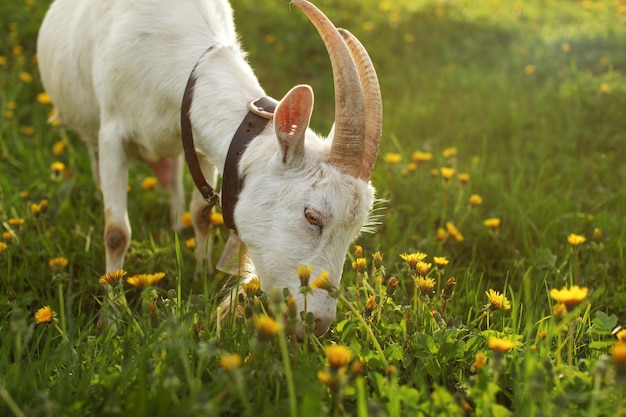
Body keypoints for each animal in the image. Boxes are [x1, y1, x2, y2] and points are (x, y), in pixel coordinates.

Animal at [39, 0, 382, 334]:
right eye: (312, 216)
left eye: (355, 232)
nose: (318, 324)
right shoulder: (113, 133)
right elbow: (116, 233)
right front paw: (111, 319)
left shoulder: (196, 138)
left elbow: (201, 214)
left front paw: (201, 273)